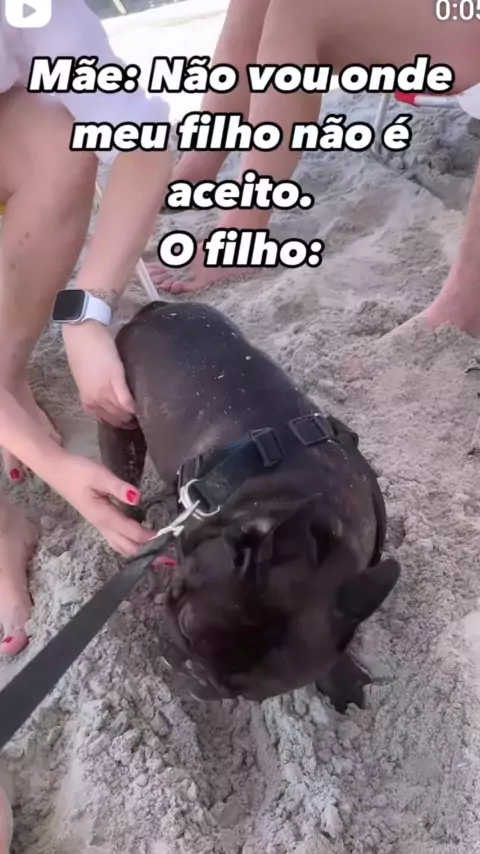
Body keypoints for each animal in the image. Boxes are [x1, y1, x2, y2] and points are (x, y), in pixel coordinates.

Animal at [98, 301, 400, 712]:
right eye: (187, 626)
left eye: (248, 691)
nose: (193, 673)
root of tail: (155, 309)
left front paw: (341, 677)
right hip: (119, 425)